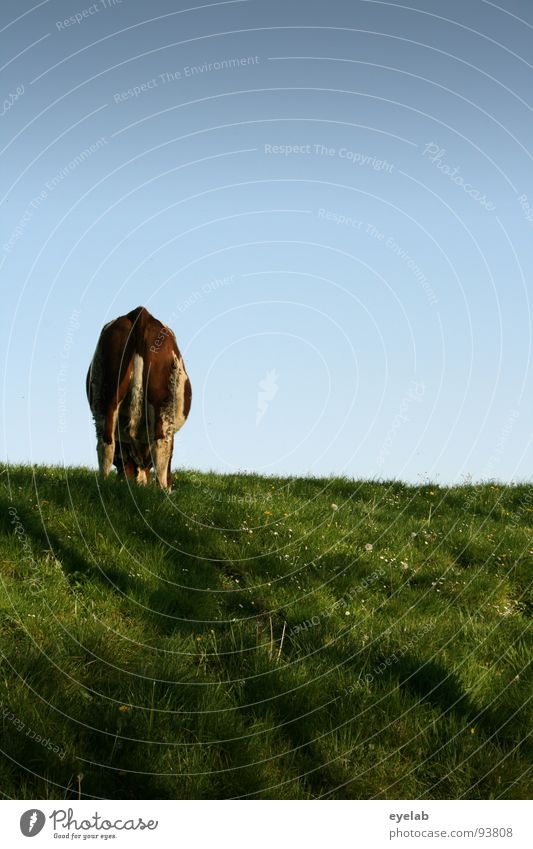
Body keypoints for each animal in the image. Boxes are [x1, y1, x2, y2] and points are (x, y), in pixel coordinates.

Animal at [84, 304, 190, 490]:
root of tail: (141, 314)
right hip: (161, 402)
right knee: (161, 448)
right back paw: (163, 490)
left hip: (107, 394)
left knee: (106, 443)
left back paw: (103, 484)